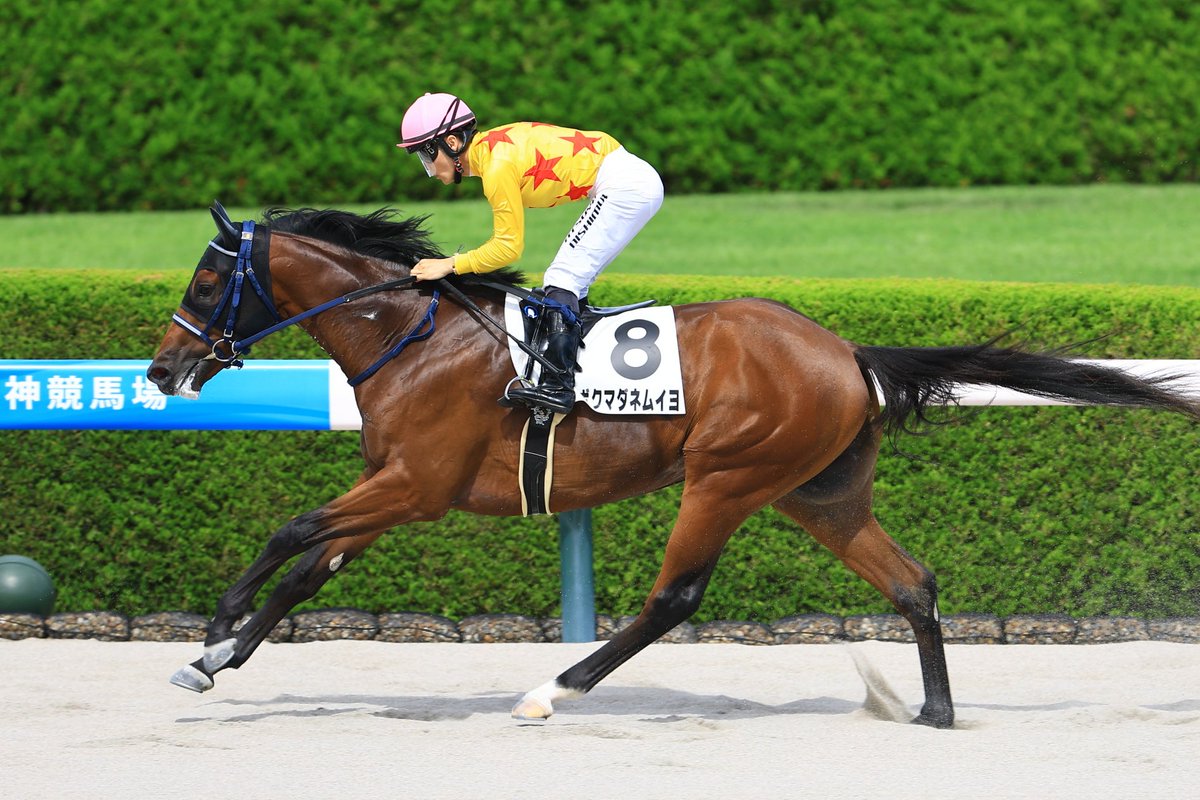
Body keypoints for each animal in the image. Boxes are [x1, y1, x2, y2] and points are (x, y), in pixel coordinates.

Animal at [147, 203, 1199, 728]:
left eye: (205, 280)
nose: (161, 370)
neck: (410, 333)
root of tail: (848, 352)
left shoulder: (416, 485)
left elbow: (290, 532)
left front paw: (214, 628)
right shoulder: (394, 491)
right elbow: (309, 571)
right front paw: (214, 658)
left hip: (728, 477)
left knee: (675, 598)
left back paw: (553, 690)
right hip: (819, 494)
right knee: (913, 580)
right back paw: (935, 712)